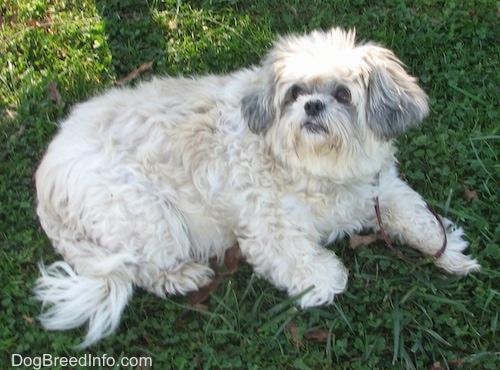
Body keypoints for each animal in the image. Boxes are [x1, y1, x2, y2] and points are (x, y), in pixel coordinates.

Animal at [34, 28, 480, 346]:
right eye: (295, 92)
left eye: (342, 93)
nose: (312, 105)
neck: (318, 167)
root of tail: (45, 182)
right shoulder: (270, 231)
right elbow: (328, 276)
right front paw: (320, 283)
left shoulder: (380, 189)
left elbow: (420, 219)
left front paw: (452, 254)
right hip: (148, 218)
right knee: (141, 268)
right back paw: (183, 276)